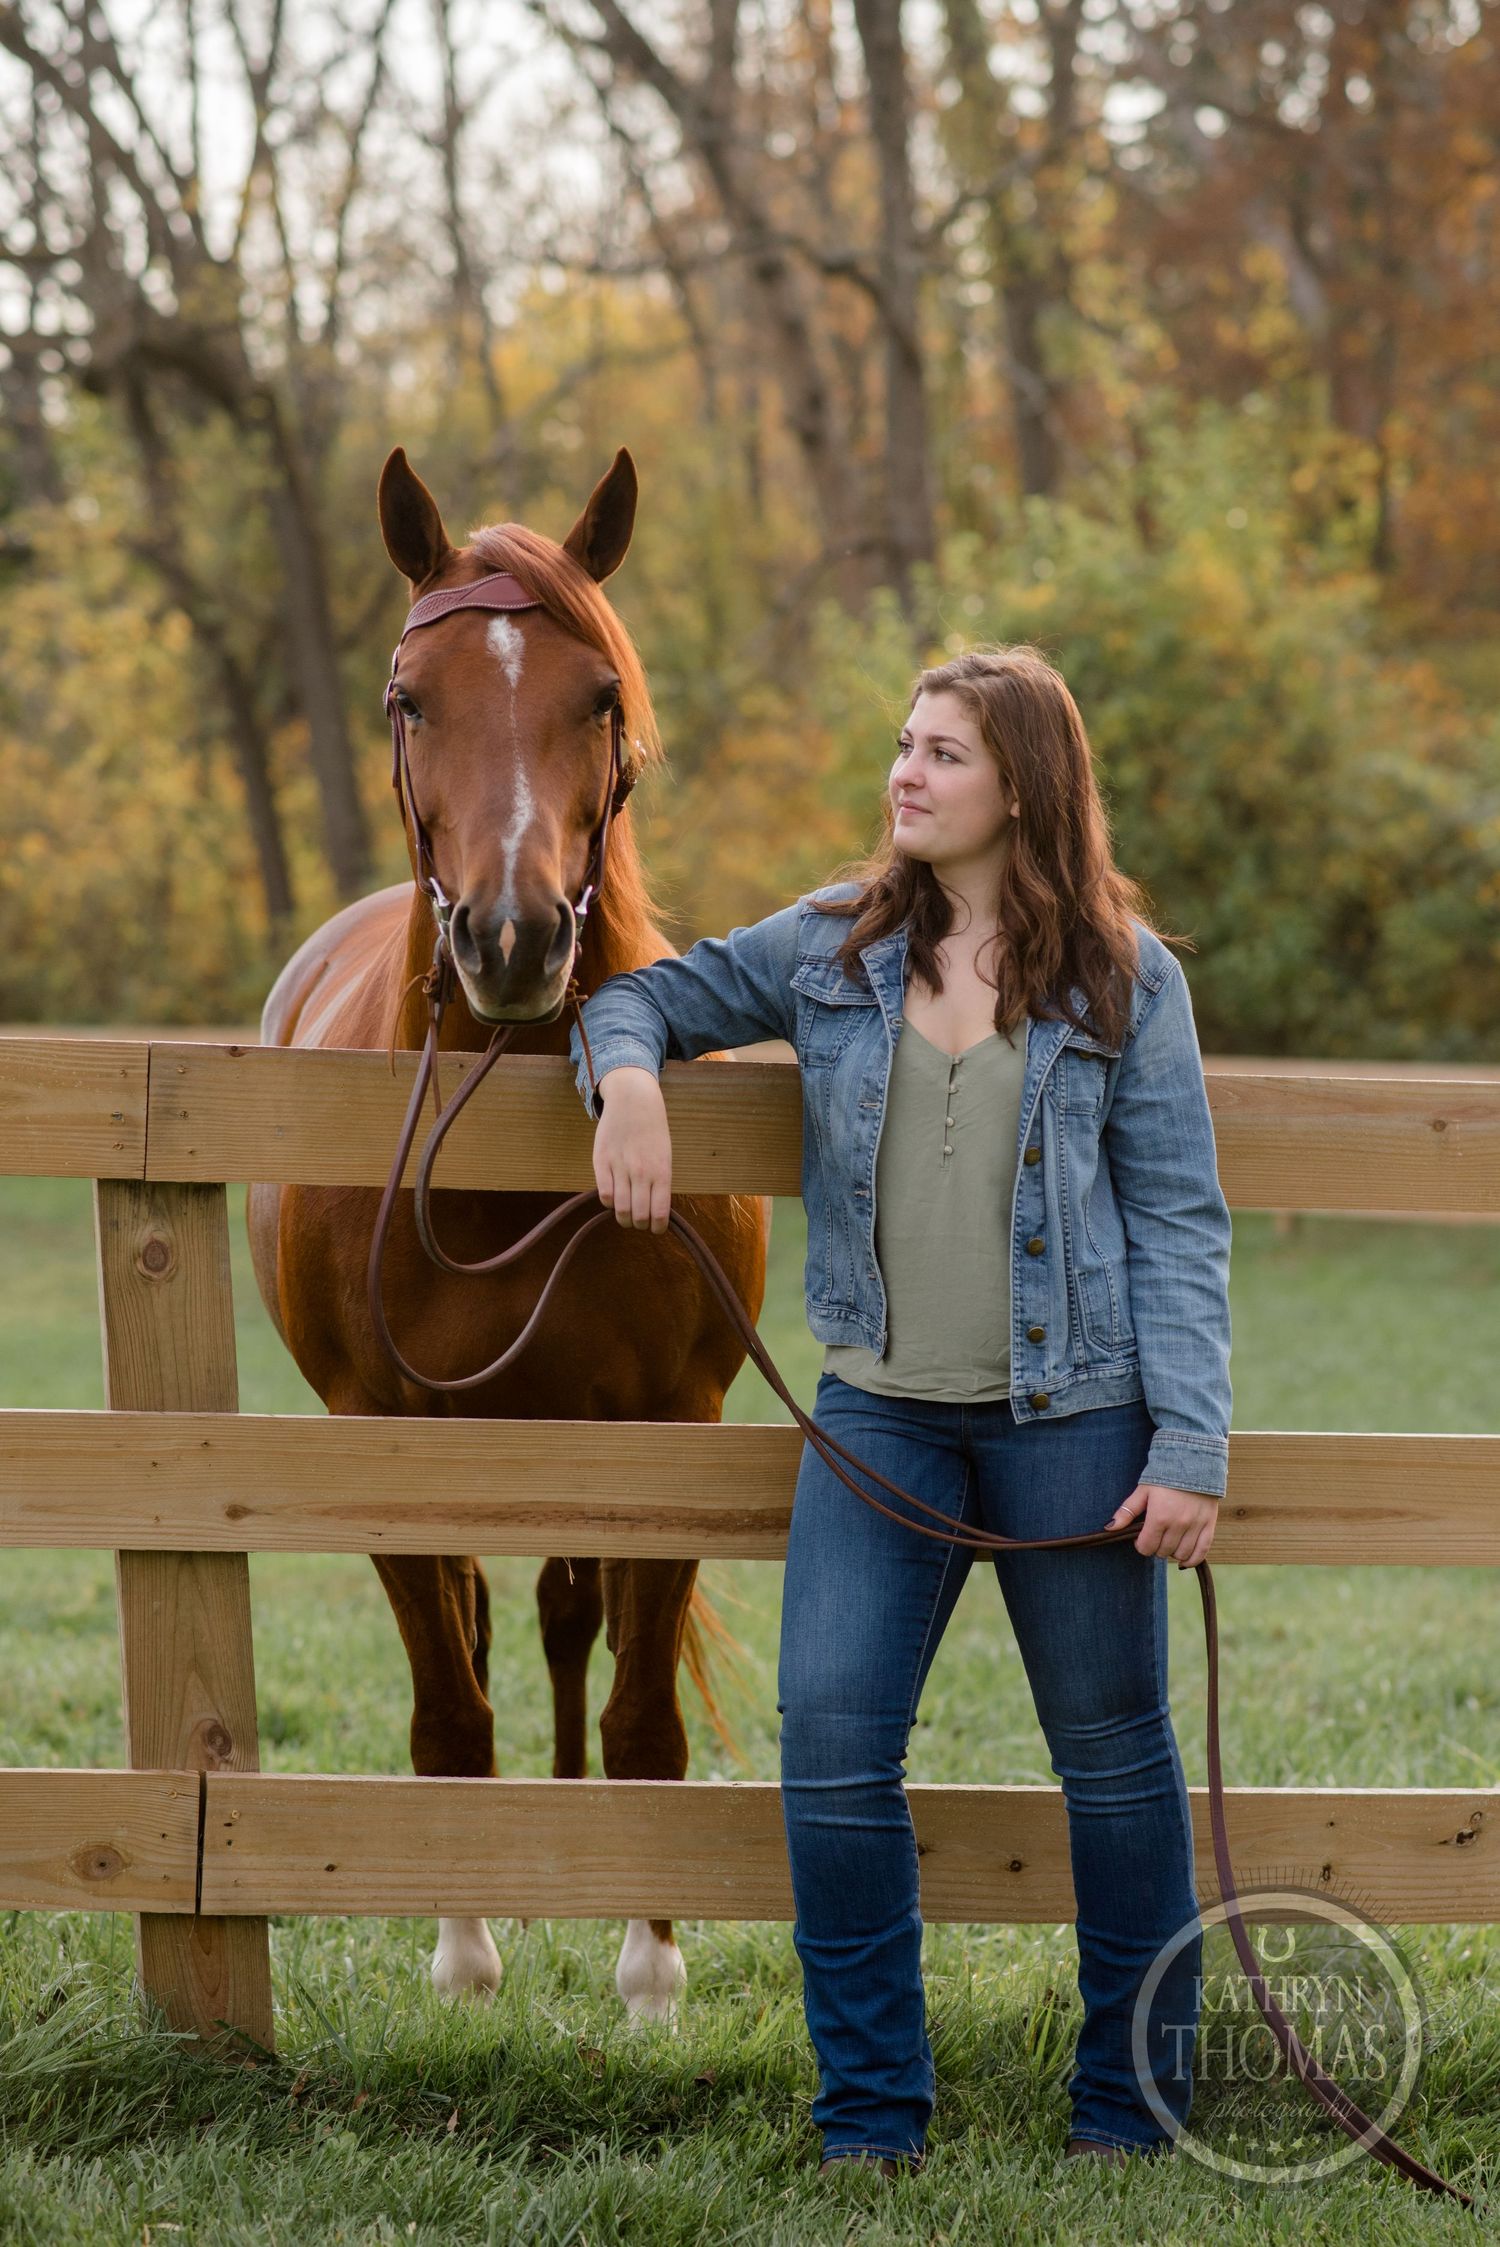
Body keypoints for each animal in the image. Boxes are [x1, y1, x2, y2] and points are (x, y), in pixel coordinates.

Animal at [247, 443, 770, 2019]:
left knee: (561, 1620)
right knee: (487, 1628)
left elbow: (646, 1715)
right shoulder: (382, 1435)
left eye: (596, 696)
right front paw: (466, 1946)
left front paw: (650, 1963)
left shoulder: (668, 1427)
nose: (514, 936)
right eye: (412, 700)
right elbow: (448, 1708)